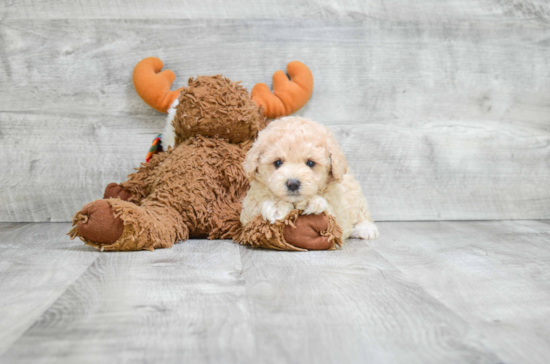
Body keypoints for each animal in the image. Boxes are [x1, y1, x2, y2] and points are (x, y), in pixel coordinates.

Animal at [242, 116, 380, 242]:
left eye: (310, 163)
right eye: (277, 162)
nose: (293, 184)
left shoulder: (338, 210)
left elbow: (331, 214)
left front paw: (311, 201)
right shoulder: (248, 212)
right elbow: (258, 204)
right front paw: (276, 205)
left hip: (356, 195)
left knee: (362, 214)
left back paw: (365, 229)